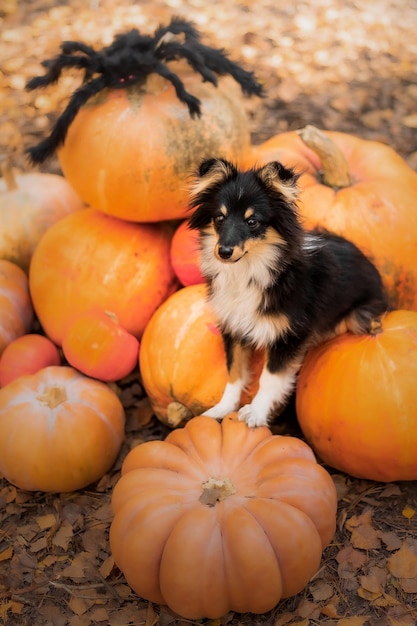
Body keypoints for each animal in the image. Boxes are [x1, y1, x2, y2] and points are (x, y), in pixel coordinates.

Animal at [187, 158, 388, 426]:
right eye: (220, 217)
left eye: (252, 222)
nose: (224, 252)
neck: (250, 269)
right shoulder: (234, 327)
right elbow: (234, 372)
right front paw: (221, 409)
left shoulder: (289, 335)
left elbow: (270, 378)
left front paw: (256, 413)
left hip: (358, 316)